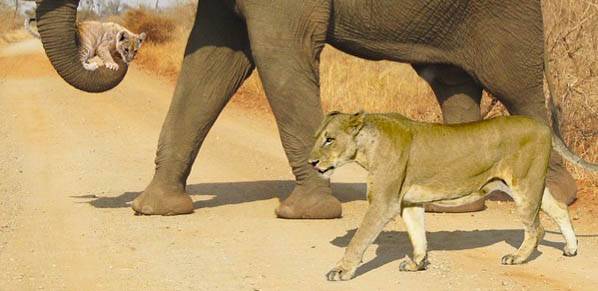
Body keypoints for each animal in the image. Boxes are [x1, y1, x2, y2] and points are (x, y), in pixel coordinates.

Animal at [35, 0, 596, 219]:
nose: (122, 48)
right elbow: (211, 62)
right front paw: (154, 209)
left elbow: (278, 54)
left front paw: (306, 213)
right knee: (452, 81)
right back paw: (454, 207)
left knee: (517, 87)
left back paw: (555, 195)